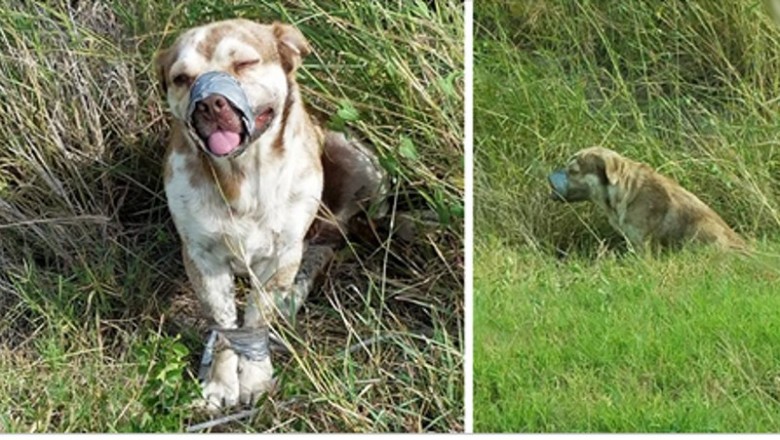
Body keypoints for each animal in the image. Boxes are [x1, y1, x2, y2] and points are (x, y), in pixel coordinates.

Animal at [156, 17, 386, 410]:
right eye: (181, 78)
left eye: (245, 63)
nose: (210, 103)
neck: (243, 176)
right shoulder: (202, 258)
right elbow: (226, 325)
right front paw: (220, 382)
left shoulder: (281, 254)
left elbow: (255, 318)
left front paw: (255, 378)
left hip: (358, 161)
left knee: (330, 241)